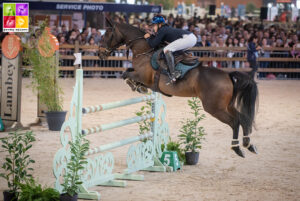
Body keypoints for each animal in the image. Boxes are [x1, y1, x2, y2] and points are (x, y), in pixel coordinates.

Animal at [99, 18, 258, 157]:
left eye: (106, 34)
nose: (100, 54)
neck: (144, 50)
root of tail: (228, 76)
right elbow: (127, 72)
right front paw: (138, 87)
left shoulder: (143, 76)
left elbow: (125, 74)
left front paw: (137, 86)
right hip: (227, 105)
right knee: (242, 117)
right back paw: (249, 145)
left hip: (214, 108)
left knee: (235, 122)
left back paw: (237, 148)